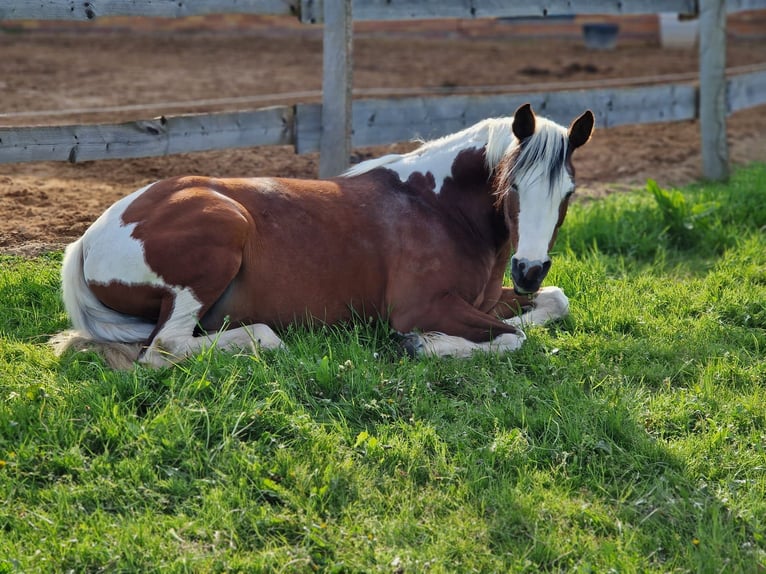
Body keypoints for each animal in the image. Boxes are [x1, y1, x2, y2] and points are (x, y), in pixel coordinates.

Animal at [52, 104, 592, 372]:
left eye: (569, 191)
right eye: (513, 186)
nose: (528, 271)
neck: (435, 205)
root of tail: (86, 241)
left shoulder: (487, 298)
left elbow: (555, 302)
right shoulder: (422, 307)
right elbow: (514, 338)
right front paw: (420, 345)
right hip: (221, 234)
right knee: (165, 349)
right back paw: (263, 339)